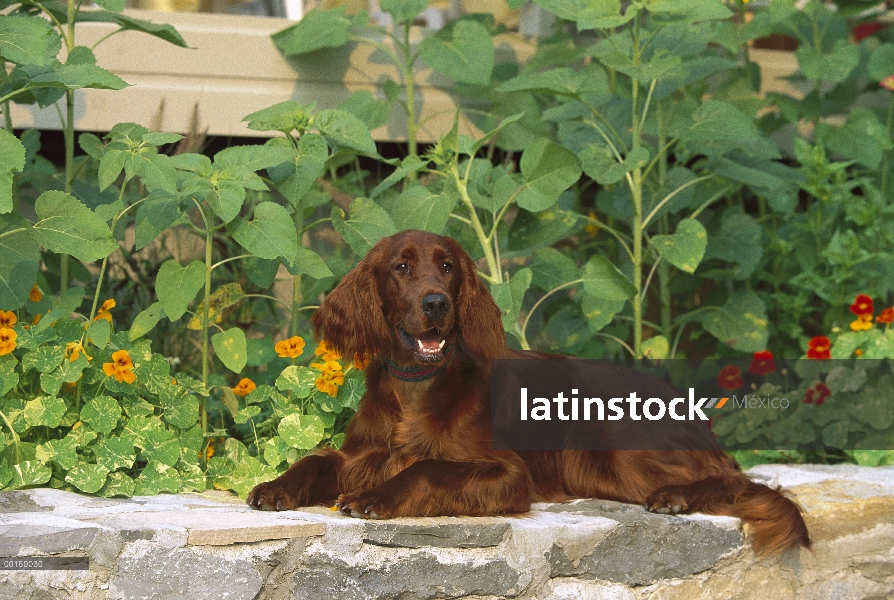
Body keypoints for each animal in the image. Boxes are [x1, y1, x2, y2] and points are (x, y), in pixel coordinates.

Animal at [247, 229, 812, 552]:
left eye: (447, 266)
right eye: (400, 268)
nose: (435, 303)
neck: (418, 386)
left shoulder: (508, 474)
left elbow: (427, 467)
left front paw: (373, 497)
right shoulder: (361, 454)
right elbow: (315, 458)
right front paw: (275, 486)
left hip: (610, 444)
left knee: (740, 482)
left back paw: (675, 496)